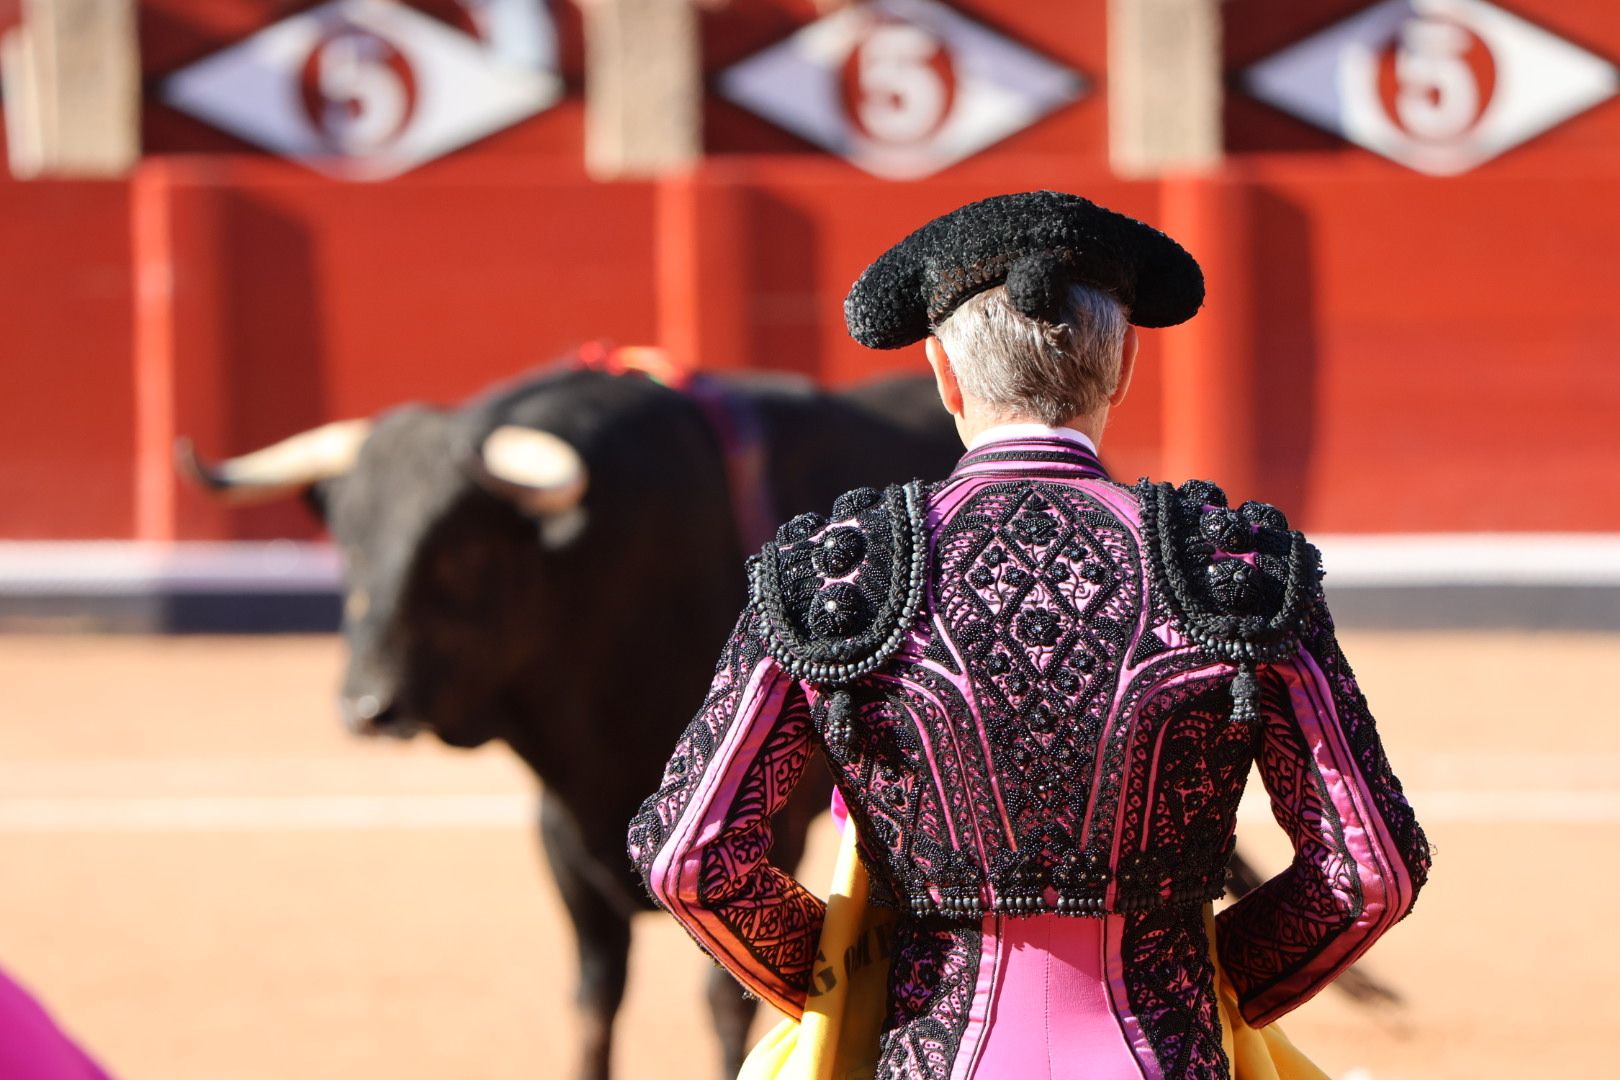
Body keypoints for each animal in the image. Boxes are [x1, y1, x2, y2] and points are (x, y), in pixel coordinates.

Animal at [180, 365, 1393, 1080]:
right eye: (348, 540)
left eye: (460, 547)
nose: (367, 704)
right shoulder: (561, 829)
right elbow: (593, 998)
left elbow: (721, 997)